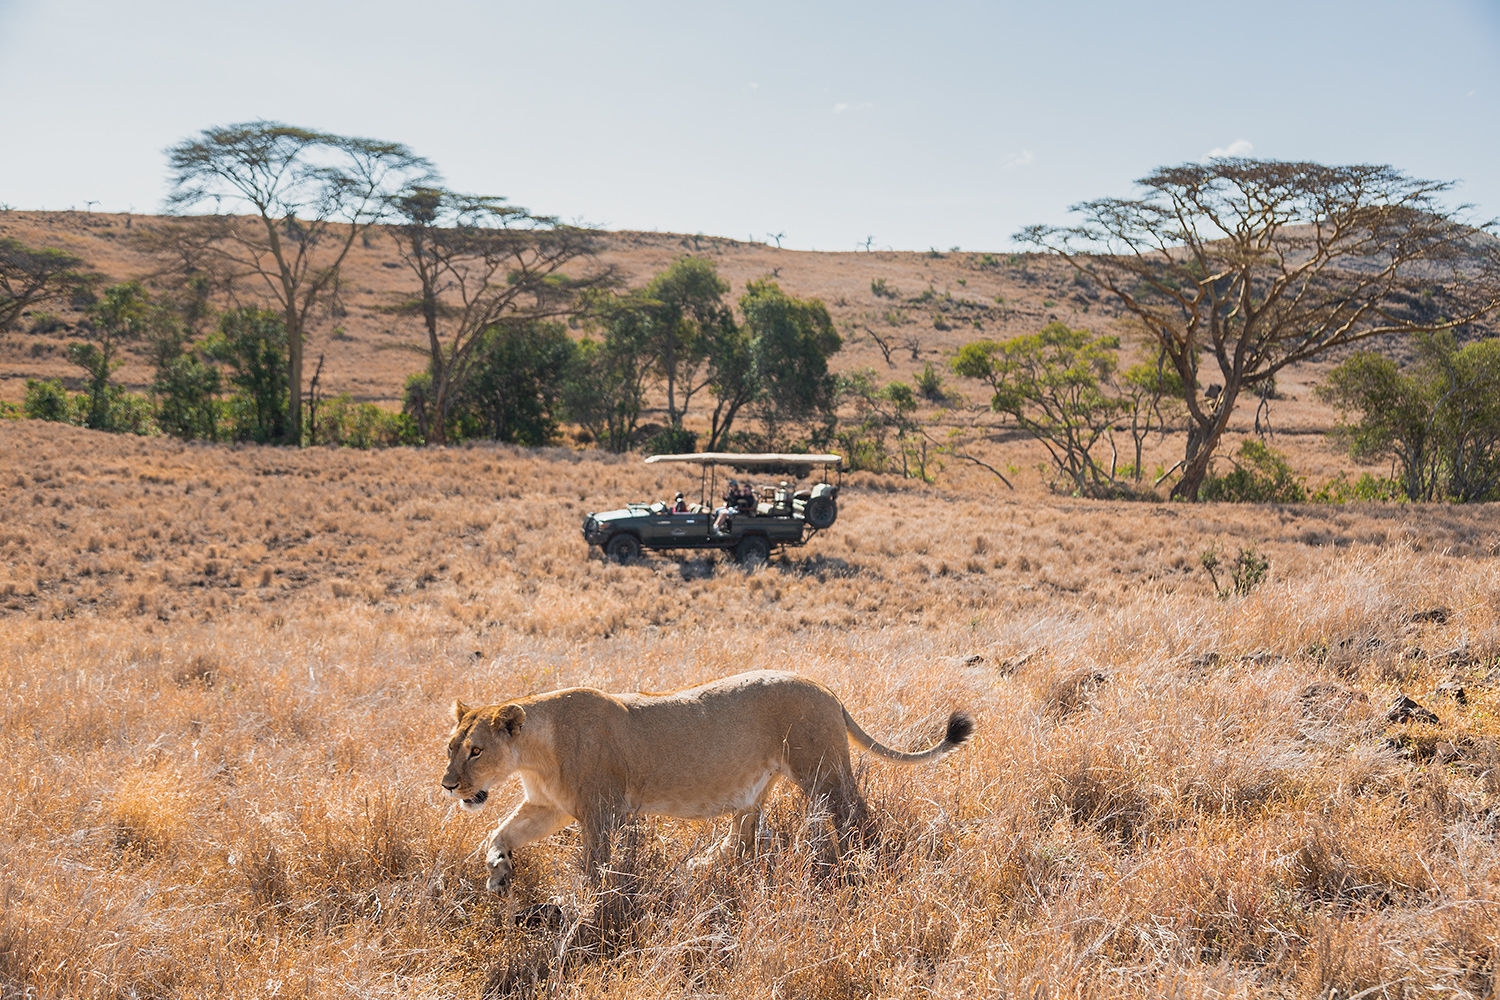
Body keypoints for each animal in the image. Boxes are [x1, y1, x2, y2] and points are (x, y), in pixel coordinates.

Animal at [441, 669, 974, 892]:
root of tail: (824, 687)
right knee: (744, 837)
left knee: (855, 814)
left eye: (476, 751)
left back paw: (866, 862)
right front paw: (498, 873)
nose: (449, 786)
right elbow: (499, 833)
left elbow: (597, 867)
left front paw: (582, 906)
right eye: (451, 748)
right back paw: (698, 867)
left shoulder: (602, 812)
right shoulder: (546, 806)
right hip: (756, 787)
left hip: (821, 770)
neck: (533, 755)